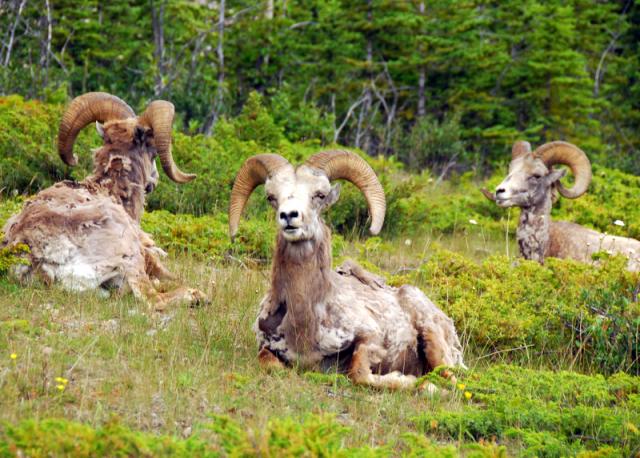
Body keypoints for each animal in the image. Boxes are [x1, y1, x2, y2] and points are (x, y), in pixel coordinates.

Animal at [1, 92, 206, 310]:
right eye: (153, 152)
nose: (154, 182)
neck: (109, 190)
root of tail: (38, 257)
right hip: (129, 257)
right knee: (152, 299)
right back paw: (197, 296)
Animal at [229, 150, 465, 390]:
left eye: (320, 195)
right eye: (271, 197)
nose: (288, 216)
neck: (304, 321)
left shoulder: (370, 339)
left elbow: (358, 373)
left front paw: (410, 380)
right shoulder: (267, 350)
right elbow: (270, 364)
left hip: (434, 341)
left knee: (452, 380)